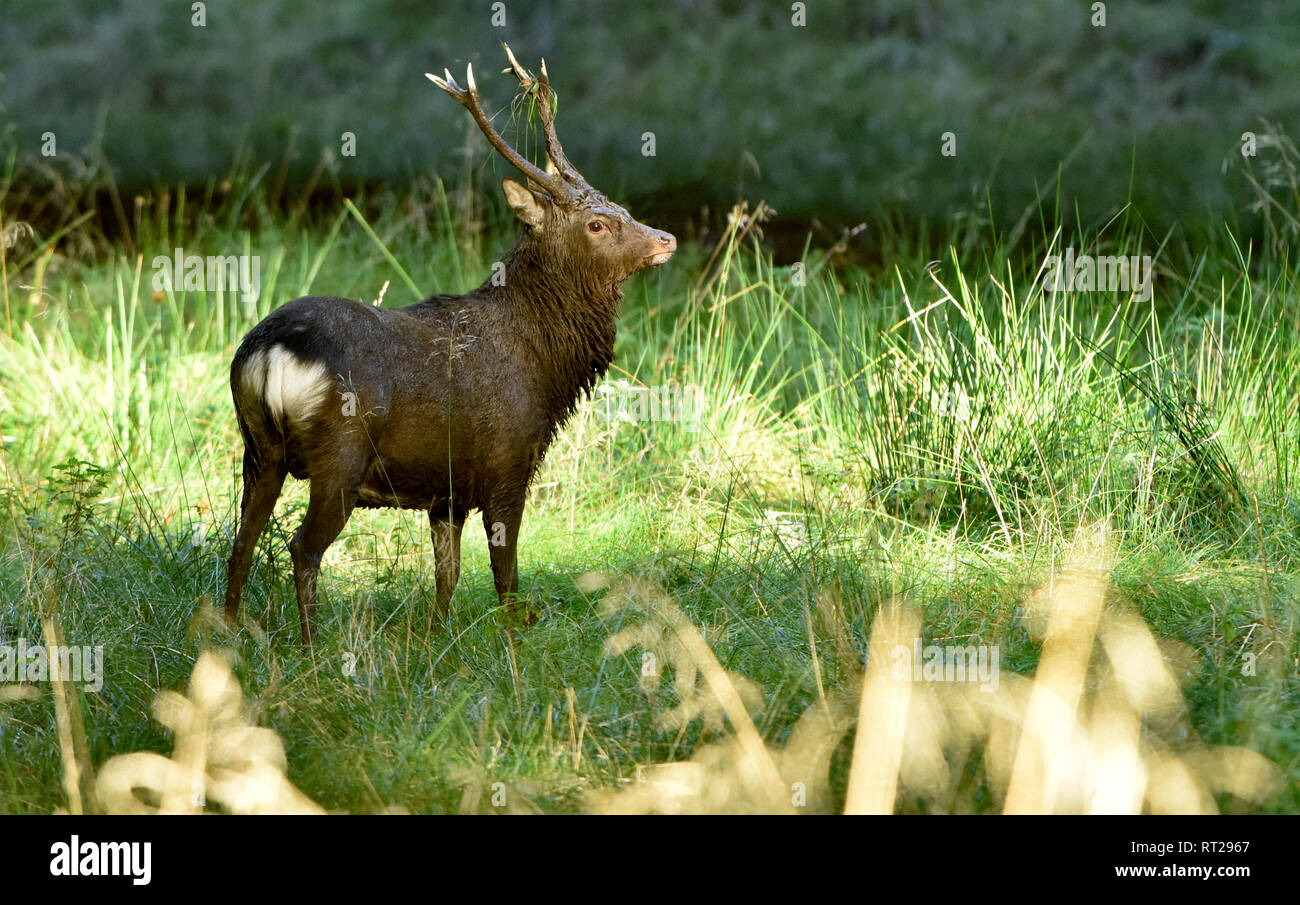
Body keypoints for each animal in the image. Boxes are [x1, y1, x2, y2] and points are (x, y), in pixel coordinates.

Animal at [222, 45, 676, 647]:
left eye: (619, 206)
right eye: (598, 223)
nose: (667, 238)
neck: (546, 367)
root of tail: (270, 352)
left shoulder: (447, 489)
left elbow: (448, 575)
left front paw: (438, 641)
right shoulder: (507, 463)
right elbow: (505, 577)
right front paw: (513, 645)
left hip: (257, 448)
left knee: (241, 541)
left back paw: (224, 633)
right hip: (339, 453)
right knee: (302, 547)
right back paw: (313, 650)